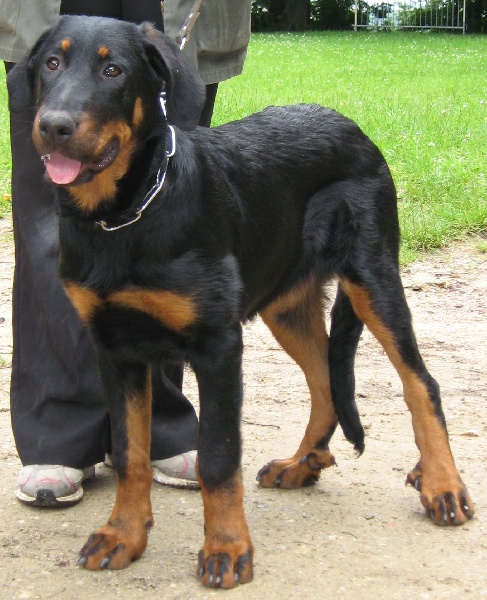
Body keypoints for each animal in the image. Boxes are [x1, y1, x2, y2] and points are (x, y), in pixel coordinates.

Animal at [8, 15, 474, 588]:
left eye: (112, 69)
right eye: (51, 63)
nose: (53, 126)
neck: (126, 215)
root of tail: (353, 126)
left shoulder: (218, 346)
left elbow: (218, 456)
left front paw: (227, 548)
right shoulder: (115, 348)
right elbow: (130, 453)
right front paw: (123, 535)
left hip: (373, 279)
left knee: (419, 381)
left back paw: (443, 485)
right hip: (285, 304)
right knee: (325, 380)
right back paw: (303, 463)